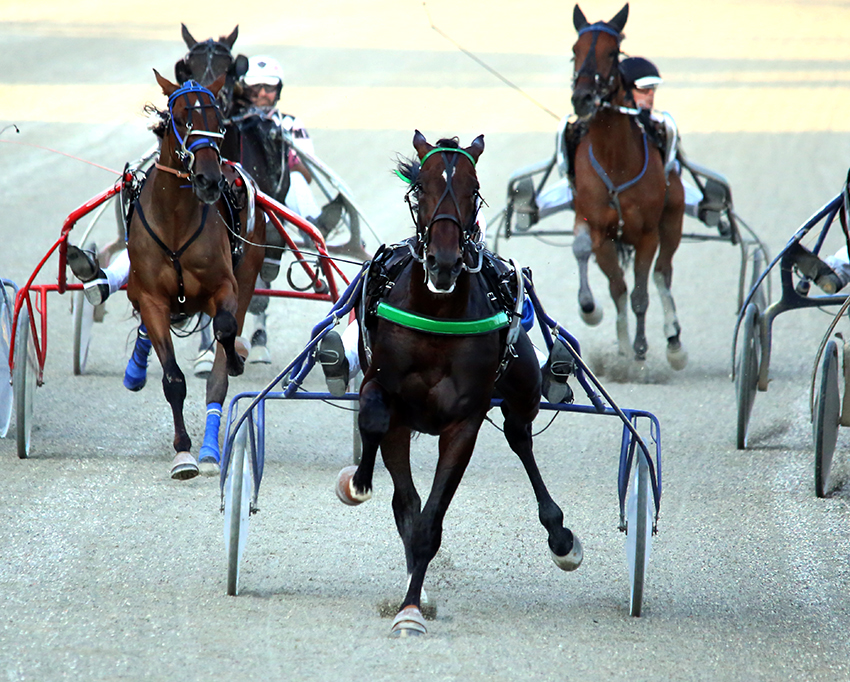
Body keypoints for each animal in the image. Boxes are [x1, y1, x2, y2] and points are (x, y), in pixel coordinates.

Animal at [126, 71, 262, 478]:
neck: (175, 220)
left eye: (218, 119)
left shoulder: (225, 286)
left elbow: (226, 328)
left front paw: (233, 359)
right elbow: (172, 379)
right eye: (183, 118)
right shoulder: (152, 299)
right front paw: (182, 453)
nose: (208, 180)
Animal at [332, 134, 584, 636]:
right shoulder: (385, 394)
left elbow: (429, 523)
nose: (444, 262)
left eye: (474, 190)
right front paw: (358, 481)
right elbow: (377, 430)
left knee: (520, 437)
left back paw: (560, 535)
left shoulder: (464, 421)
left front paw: (410, 611)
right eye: (421, 189)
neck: (437, 312)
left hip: (522, 388)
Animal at [568, 3, 684, 366]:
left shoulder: (647, 234)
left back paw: (673, 341)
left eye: (612, 51)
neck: (615, 160)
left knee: (663, 273)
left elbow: (641, 294)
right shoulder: (598, 228)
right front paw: (605, 328)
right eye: (574, 50)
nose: (583, 97)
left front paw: (641, 347)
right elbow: (614, 286)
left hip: (673, 218)